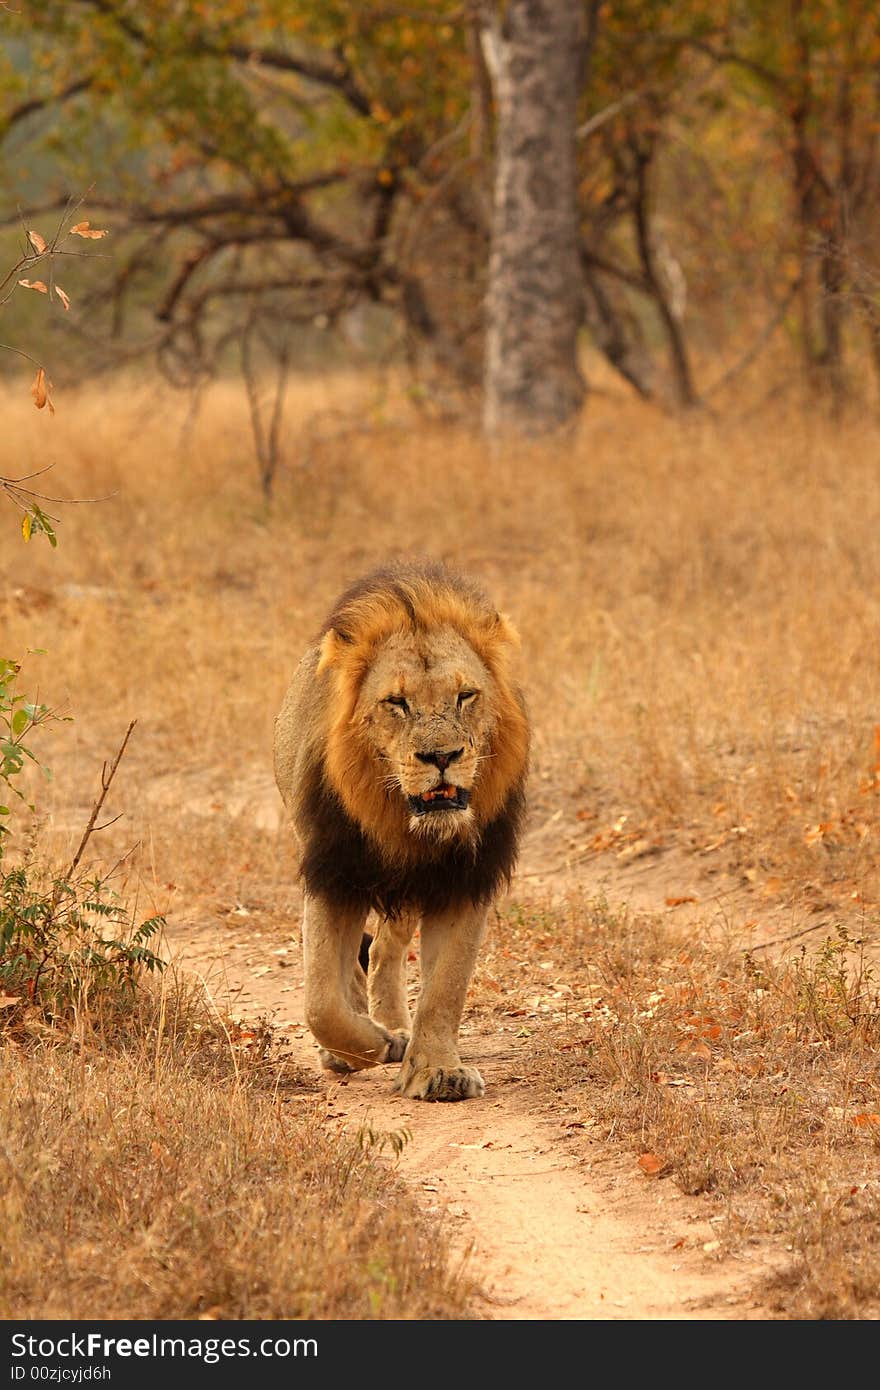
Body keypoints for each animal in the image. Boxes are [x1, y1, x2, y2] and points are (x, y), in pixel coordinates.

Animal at [271, 558, 528, 1100]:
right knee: (352, 969)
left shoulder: (465, 878)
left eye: (465, 696)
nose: (441, 757)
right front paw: (370, 1046)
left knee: (387, 951)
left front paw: (436, 1069)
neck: (408, 827)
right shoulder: (334, 872)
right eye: (397, 703)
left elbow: (445, 988)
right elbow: (322, 1002)